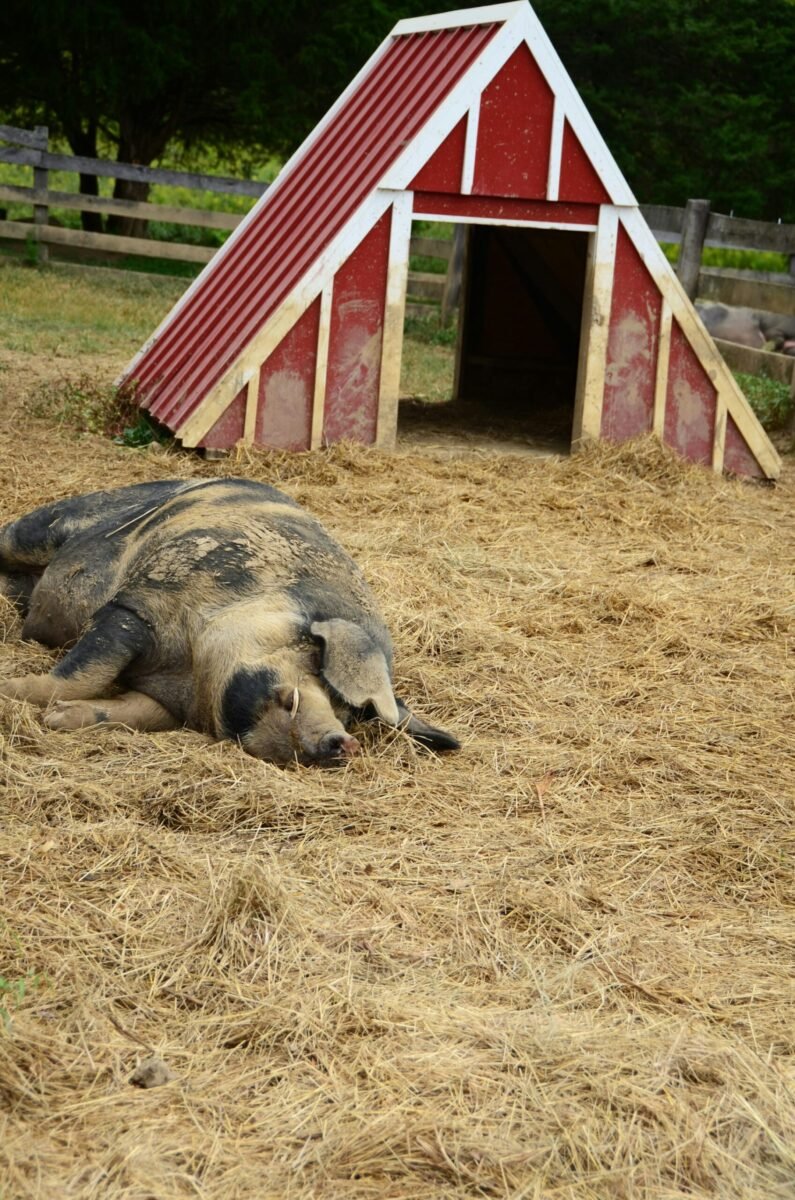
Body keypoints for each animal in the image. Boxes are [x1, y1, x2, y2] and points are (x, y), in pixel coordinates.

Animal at [0, 478, 459, 765]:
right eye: (315, 666)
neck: (188, 675)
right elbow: (82, 672)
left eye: (350, 716)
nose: (343, 742)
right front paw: (11, 692)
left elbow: (129, 712)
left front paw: (57, 719)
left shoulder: (164, 703)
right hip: (50, 524)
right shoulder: (136, 609)